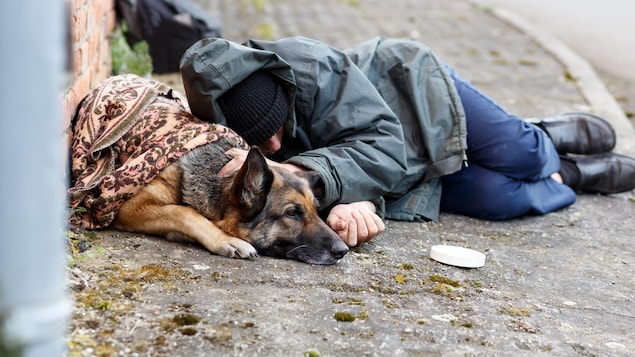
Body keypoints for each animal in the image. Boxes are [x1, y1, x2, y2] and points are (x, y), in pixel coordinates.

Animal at [115, 136, 352, 264]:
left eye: (316, 210)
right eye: (292, 213)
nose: (343, 250)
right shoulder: (129, 207)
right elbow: (182, 211)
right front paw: (225, 240)